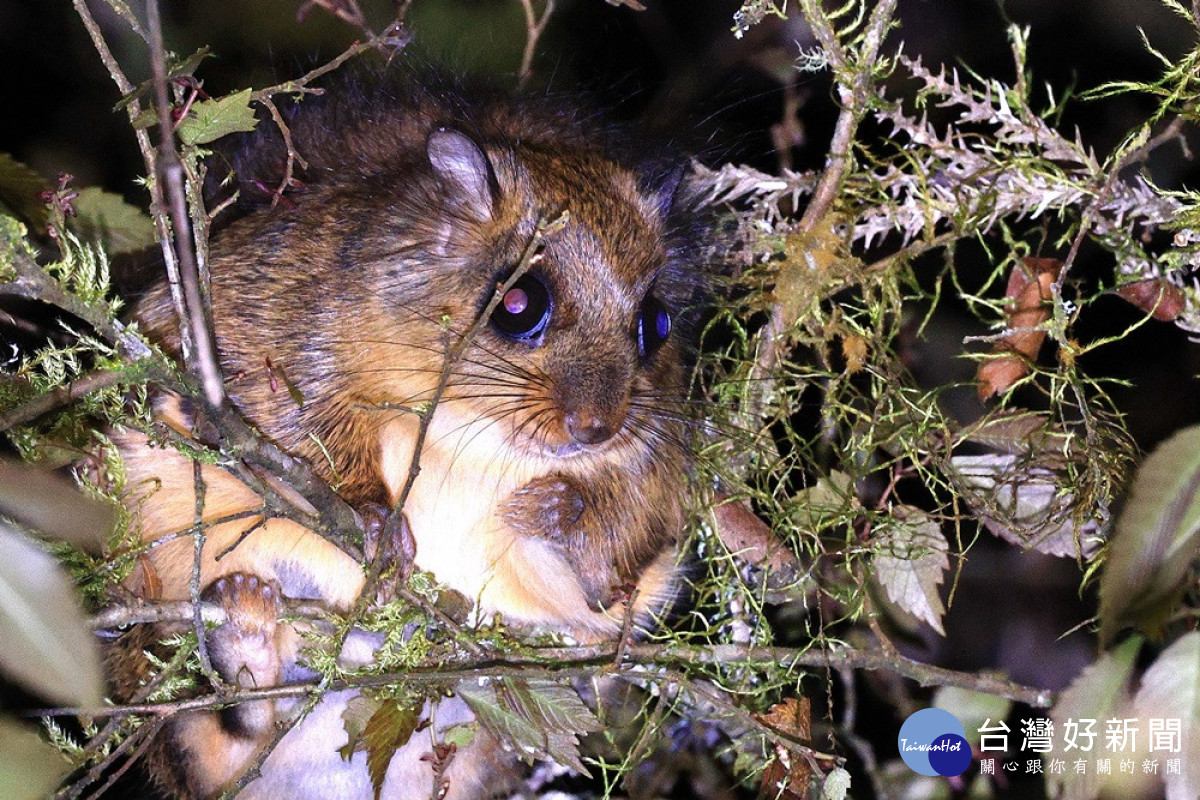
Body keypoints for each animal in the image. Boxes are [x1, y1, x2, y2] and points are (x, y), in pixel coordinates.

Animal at [105, 68, 710, 800]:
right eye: (518, 303)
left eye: (656, 323)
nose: (596, 429)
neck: (469, 434)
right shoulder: (261, 340)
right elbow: (292, 434)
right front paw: (375, 520)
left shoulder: (648, 490)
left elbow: (607, 574)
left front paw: (561, 511)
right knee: (210, 742)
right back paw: (245, 635)